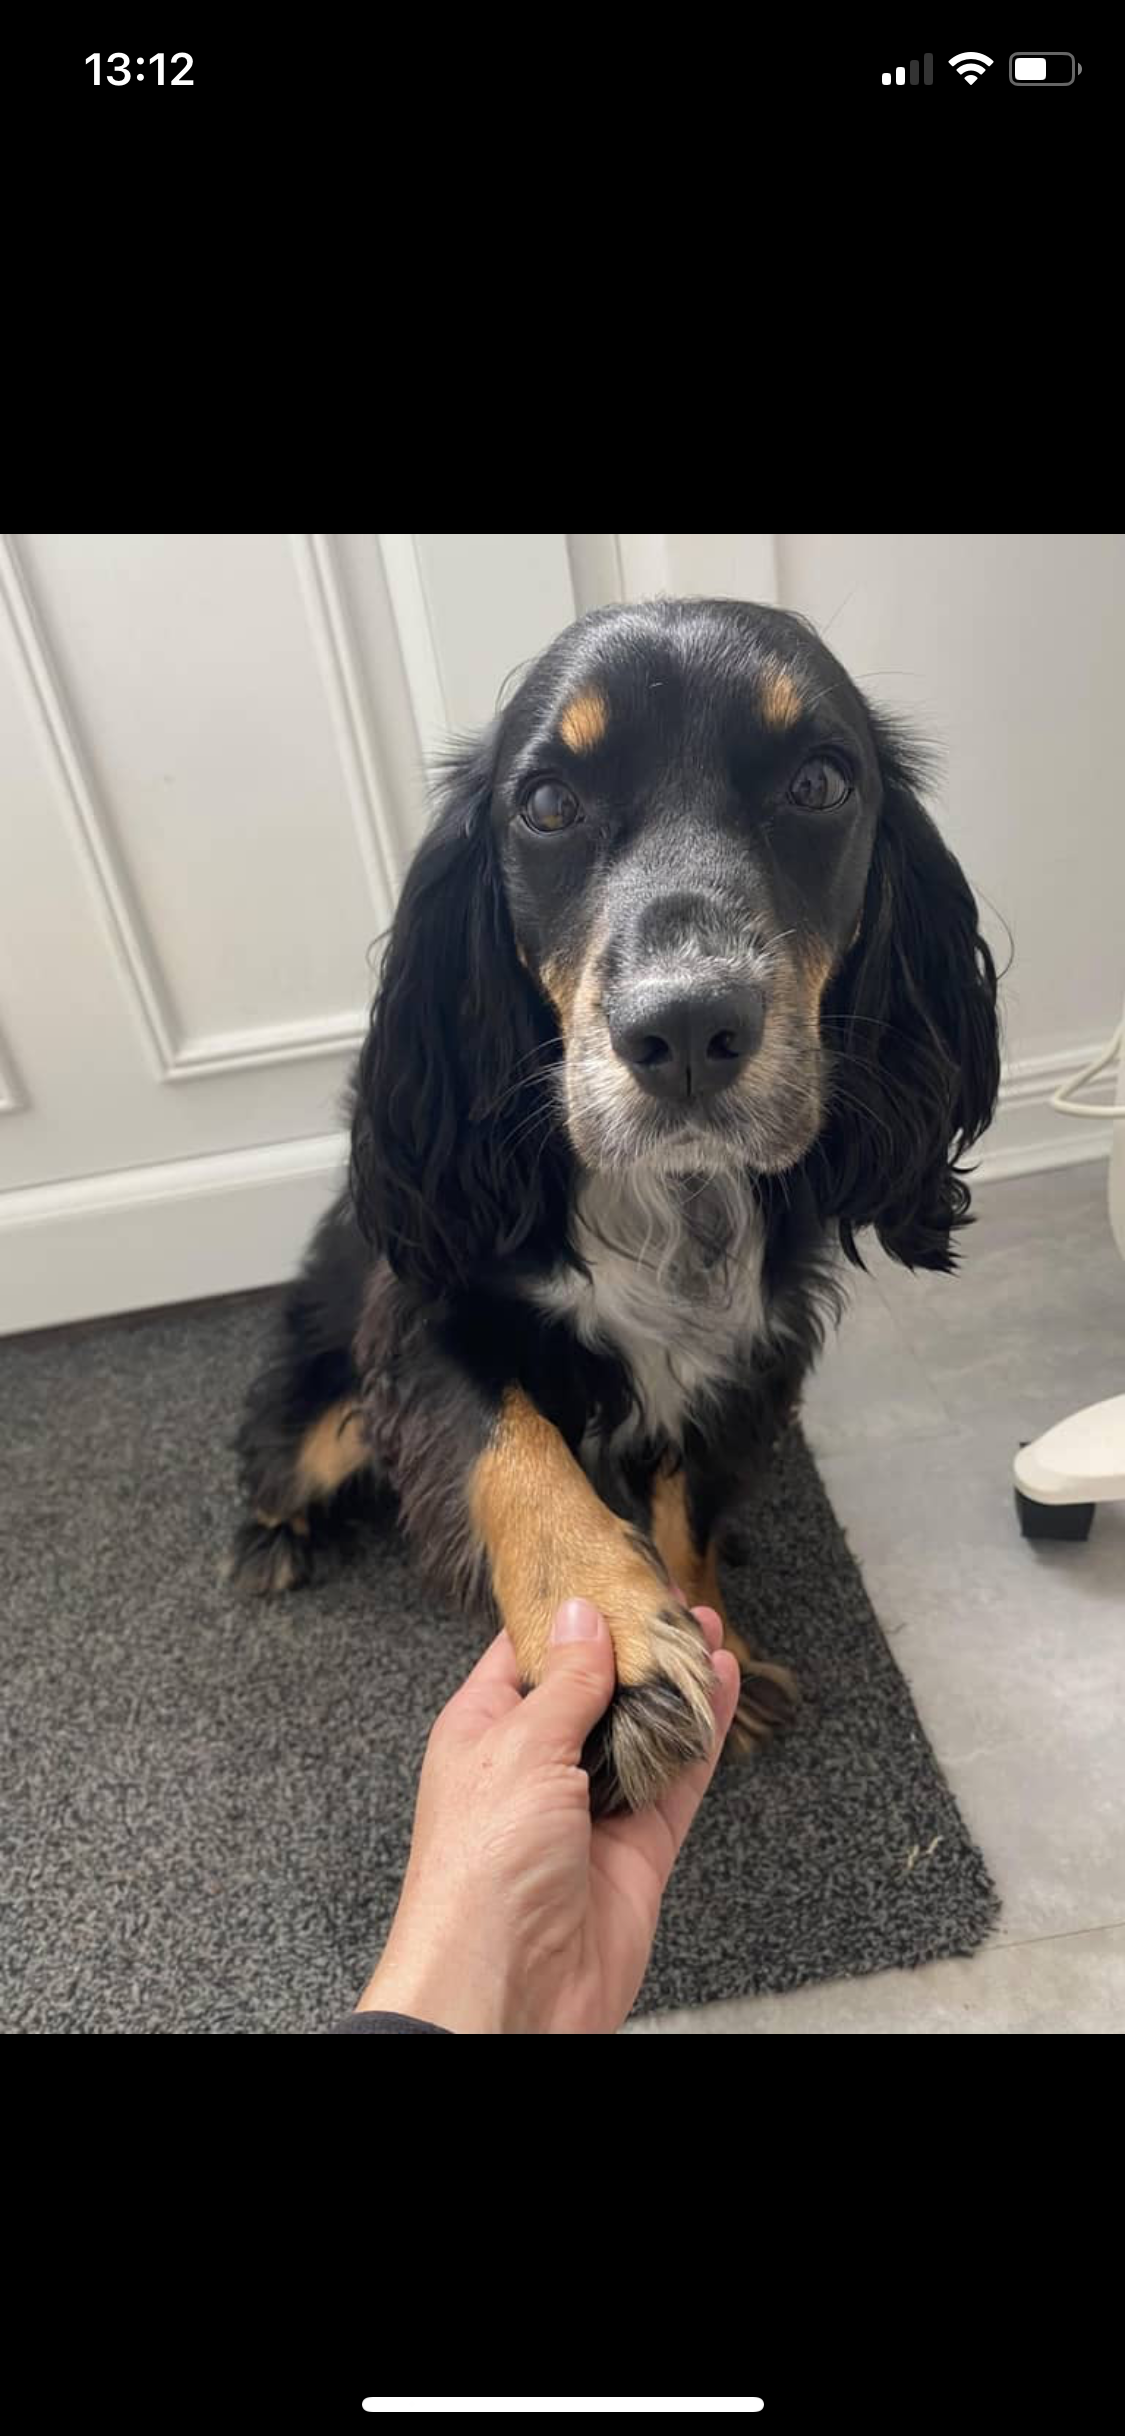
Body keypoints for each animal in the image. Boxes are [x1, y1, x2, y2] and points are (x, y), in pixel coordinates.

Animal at [232, 598, 1000, 1815]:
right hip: (324, 1395)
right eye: (548, 802)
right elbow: (515, 1451)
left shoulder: (745, 1352)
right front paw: (620, 1646)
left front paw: (716, 1641)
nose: (684, 1029)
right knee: (285, 1452)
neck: (666, 1192)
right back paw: (271, 1539)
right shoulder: (432, 1319)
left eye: (820, 782)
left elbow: (688, 1515)